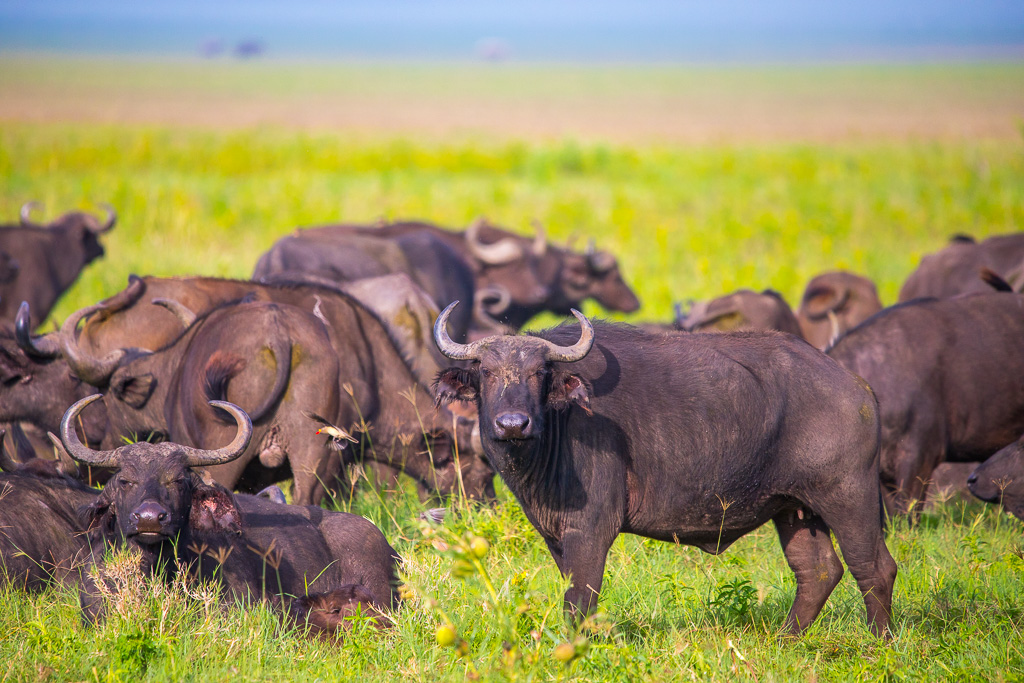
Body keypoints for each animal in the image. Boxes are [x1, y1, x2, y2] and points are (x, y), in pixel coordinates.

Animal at [432, 303, 897, 634]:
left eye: (539, 372)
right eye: (486, 372)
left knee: (874, 567)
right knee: (818, 571)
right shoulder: (555, 534)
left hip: (848, 495)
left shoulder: (592, 527)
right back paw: (786, 638)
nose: (512, 423)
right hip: (794, 509)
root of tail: (858, 387)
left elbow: (580, 598)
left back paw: (879, 642)